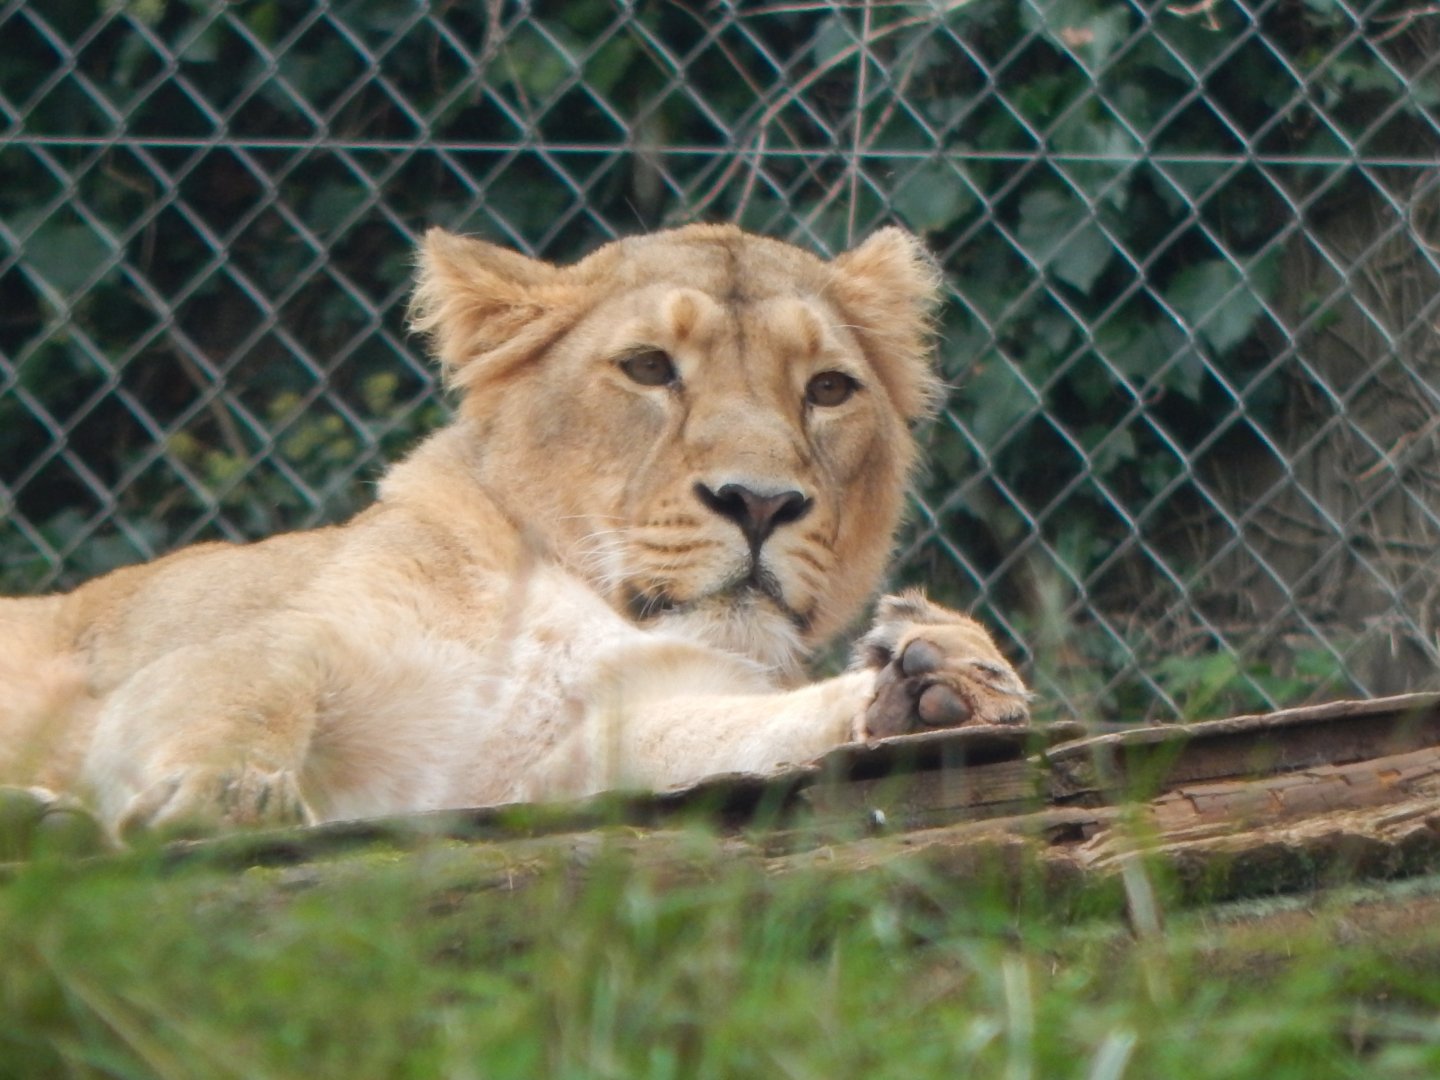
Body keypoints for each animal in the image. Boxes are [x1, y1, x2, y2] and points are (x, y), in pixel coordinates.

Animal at [0, 224, 1030, 842]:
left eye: (828, 388)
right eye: (649, 367)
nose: (760, 503)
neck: (573, 601)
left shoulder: (551, 770)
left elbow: (734, 736)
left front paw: (945, 679)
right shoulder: (279, 641)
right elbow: (241, 693)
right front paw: (223, 797)